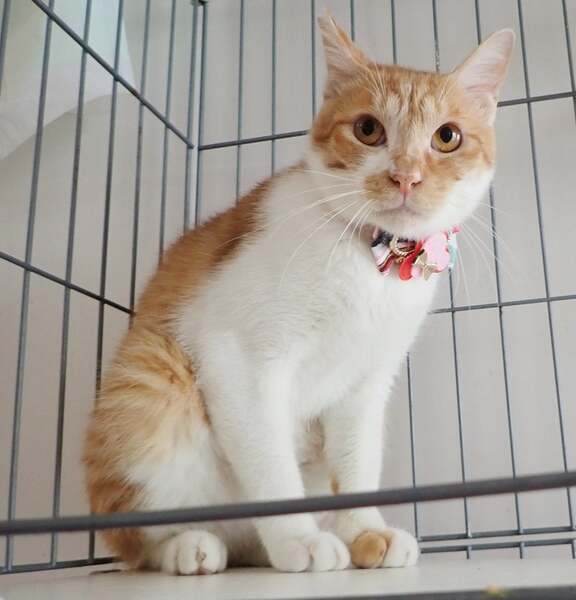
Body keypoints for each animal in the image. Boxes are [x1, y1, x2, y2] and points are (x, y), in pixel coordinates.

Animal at [84, 16, 514, 575]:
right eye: (368, 129)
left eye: (448, 137)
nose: (405, 176)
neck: (370, 265)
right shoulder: (237, 358)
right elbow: (270, 464)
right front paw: (301, 539)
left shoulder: (367, 384)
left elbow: (357, 460)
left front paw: (365, 530)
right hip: (148, 379)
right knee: (137, 544)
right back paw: (190, 546)